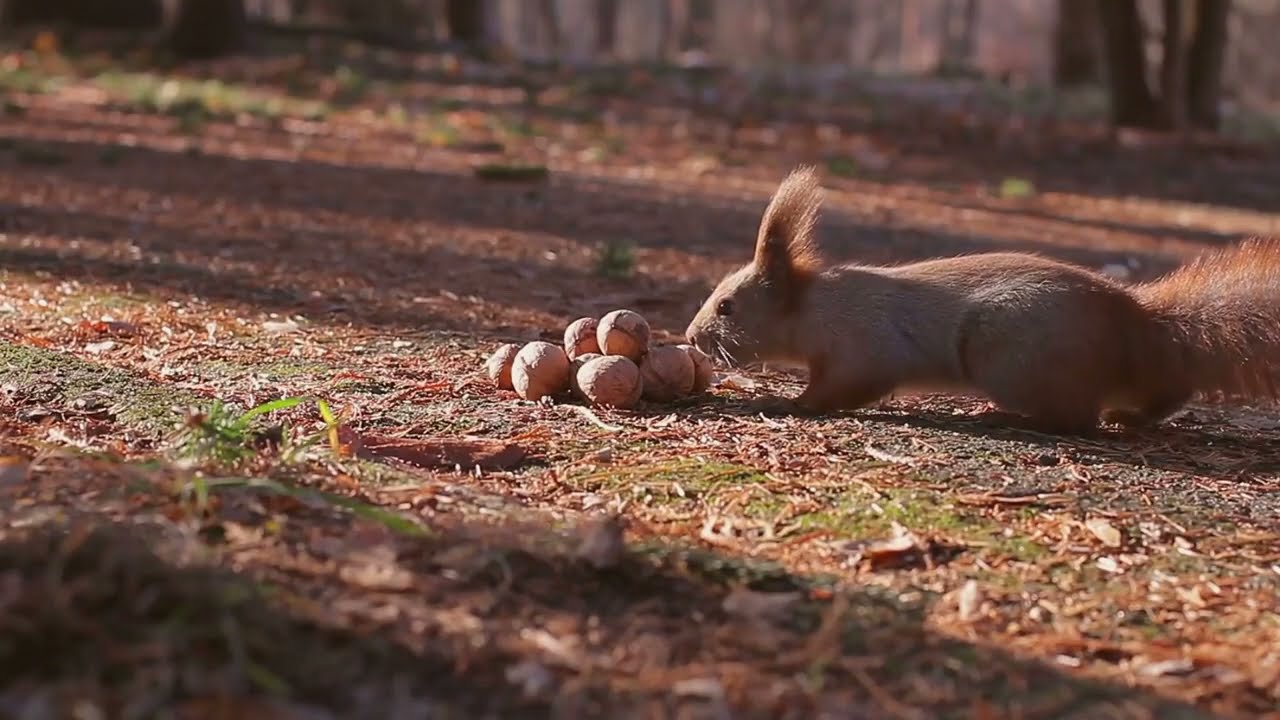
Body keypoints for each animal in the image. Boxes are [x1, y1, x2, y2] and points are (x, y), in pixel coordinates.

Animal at [684, 165, 1280, 435]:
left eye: (727, 306)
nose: (691, 337)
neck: (811, 306)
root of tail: (1135, 325)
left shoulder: (862, 345)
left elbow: (845, 386)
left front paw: (788, 403)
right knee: (1161, 392)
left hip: (1011, 354)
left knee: (1077, 417)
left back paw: (1005, 416)